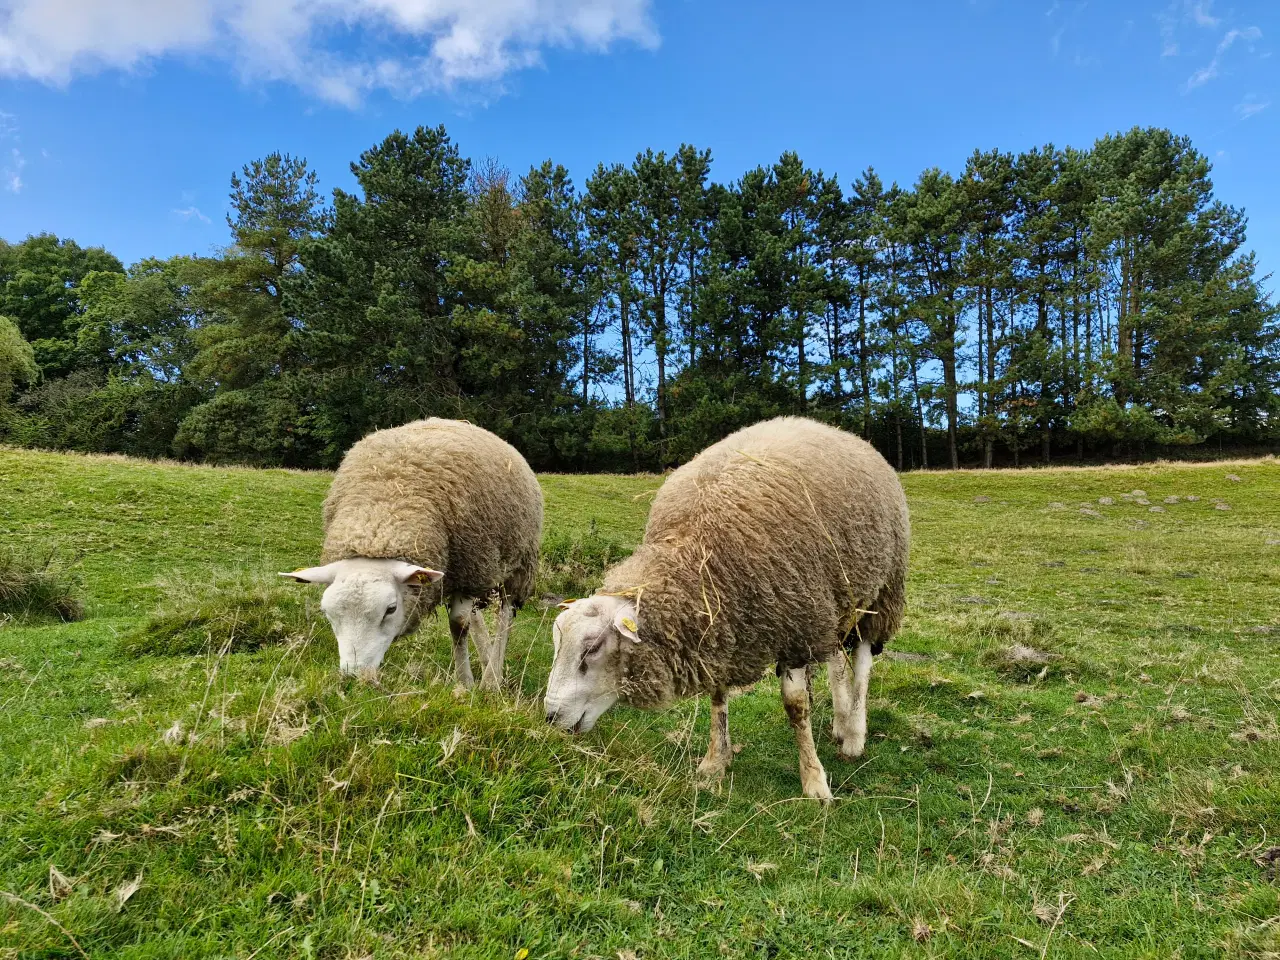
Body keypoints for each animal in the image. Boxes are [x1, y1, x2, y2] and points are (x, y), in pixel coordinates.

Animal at [282, 419, 542, 686]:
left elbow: (459, 625)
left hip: (513, 564)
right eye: (327, 613)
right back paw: (487, 659)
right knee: (478, 615)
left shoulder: (470, 570)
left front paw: (465, 682)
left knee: (505, 614)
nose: (356, 676)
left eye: (391, 609)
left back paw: (492, 678)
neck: (379, 524)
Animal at [542, 417, 911, 798]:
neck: (699, 558)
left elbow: (797, 707)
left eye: (592, 649)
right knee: (836, 658)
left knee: (863, 661)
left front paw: (814, 782)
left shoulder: (794, 626)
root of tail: (832, 429)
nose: (551, 717)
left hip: (882, 592)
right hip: (834, 601)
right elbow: (718, 698)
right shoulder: (719, 629)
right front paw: (714, 762)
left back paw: (853, 736)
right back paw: (840, 723)